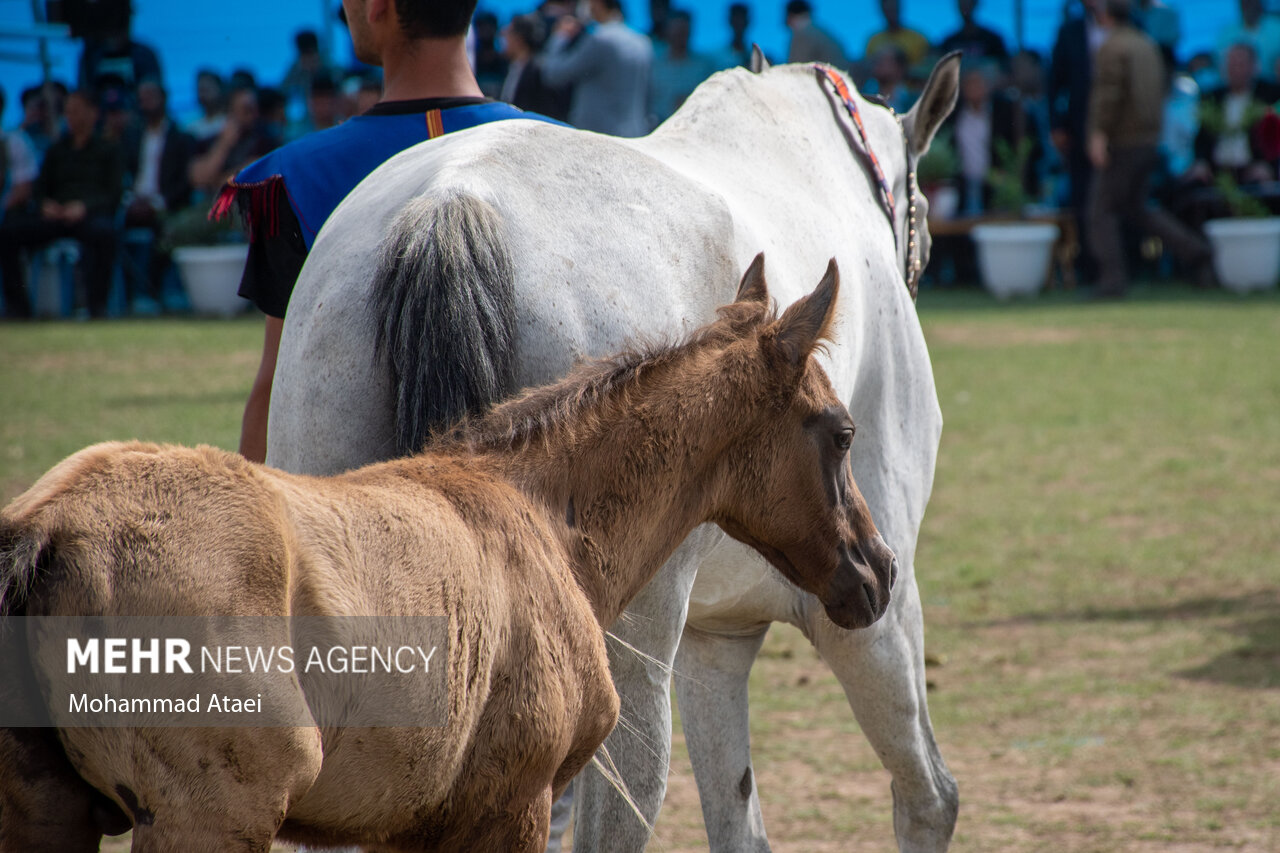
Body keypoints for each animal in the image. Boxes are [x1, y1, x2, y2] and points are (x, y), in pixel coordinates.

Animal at [275, 56, 962, 845]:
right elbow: (929, 795)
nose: (878, 567)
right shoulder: (870, 615)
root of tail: (451, 205)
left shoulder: (719, 635)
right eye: (843, 434)